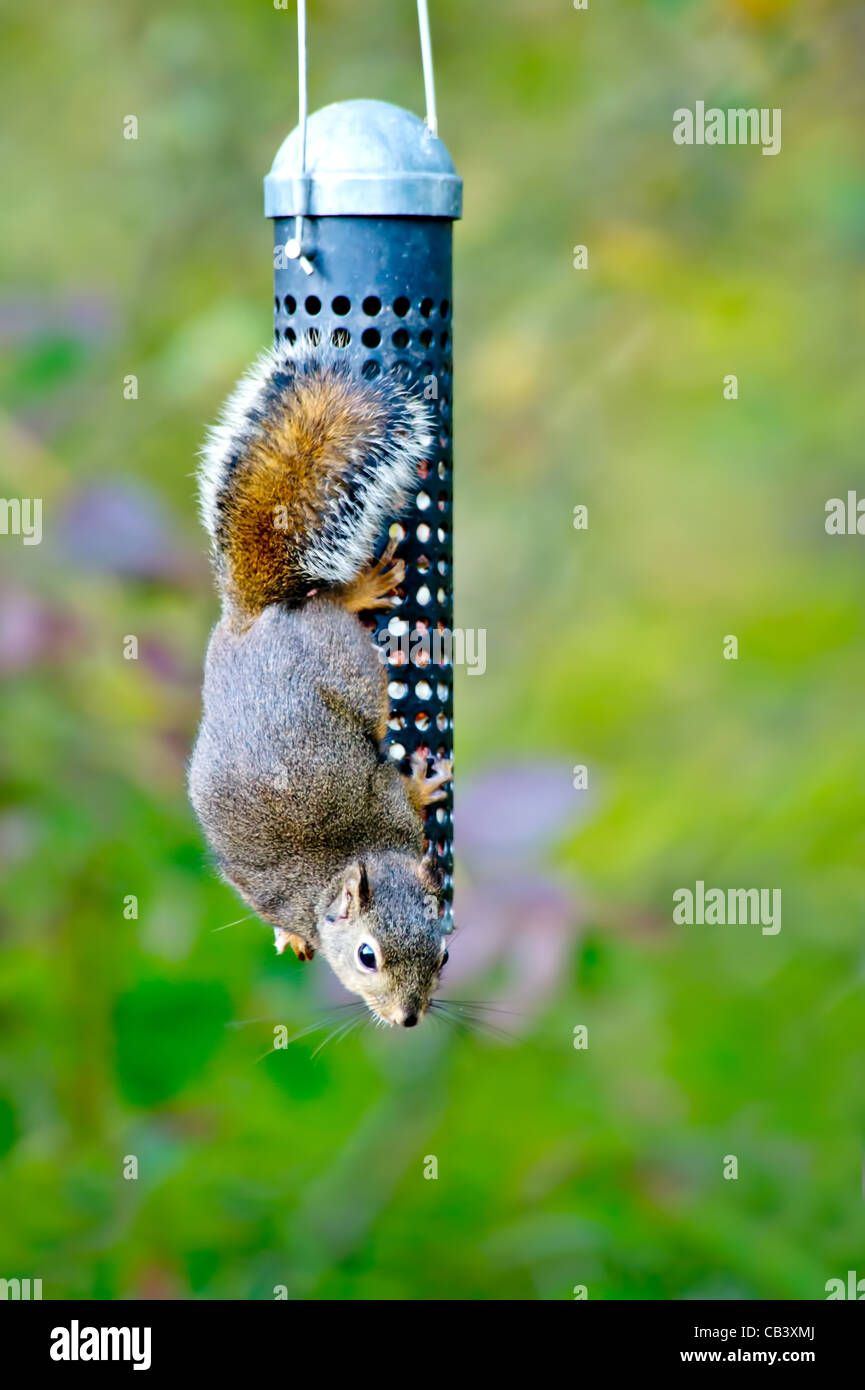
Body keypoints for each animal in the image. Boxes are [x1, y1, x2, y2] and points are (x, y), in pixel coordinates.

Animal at [188, 336, 453, 1028]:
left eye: (445, 953)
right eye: (367, 956)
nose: (408, 1017)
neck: (349, 860)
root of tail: (255, 617)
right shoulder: (268, 889)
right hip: (353, 667)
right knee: (333, 604)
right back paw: (360, 588)